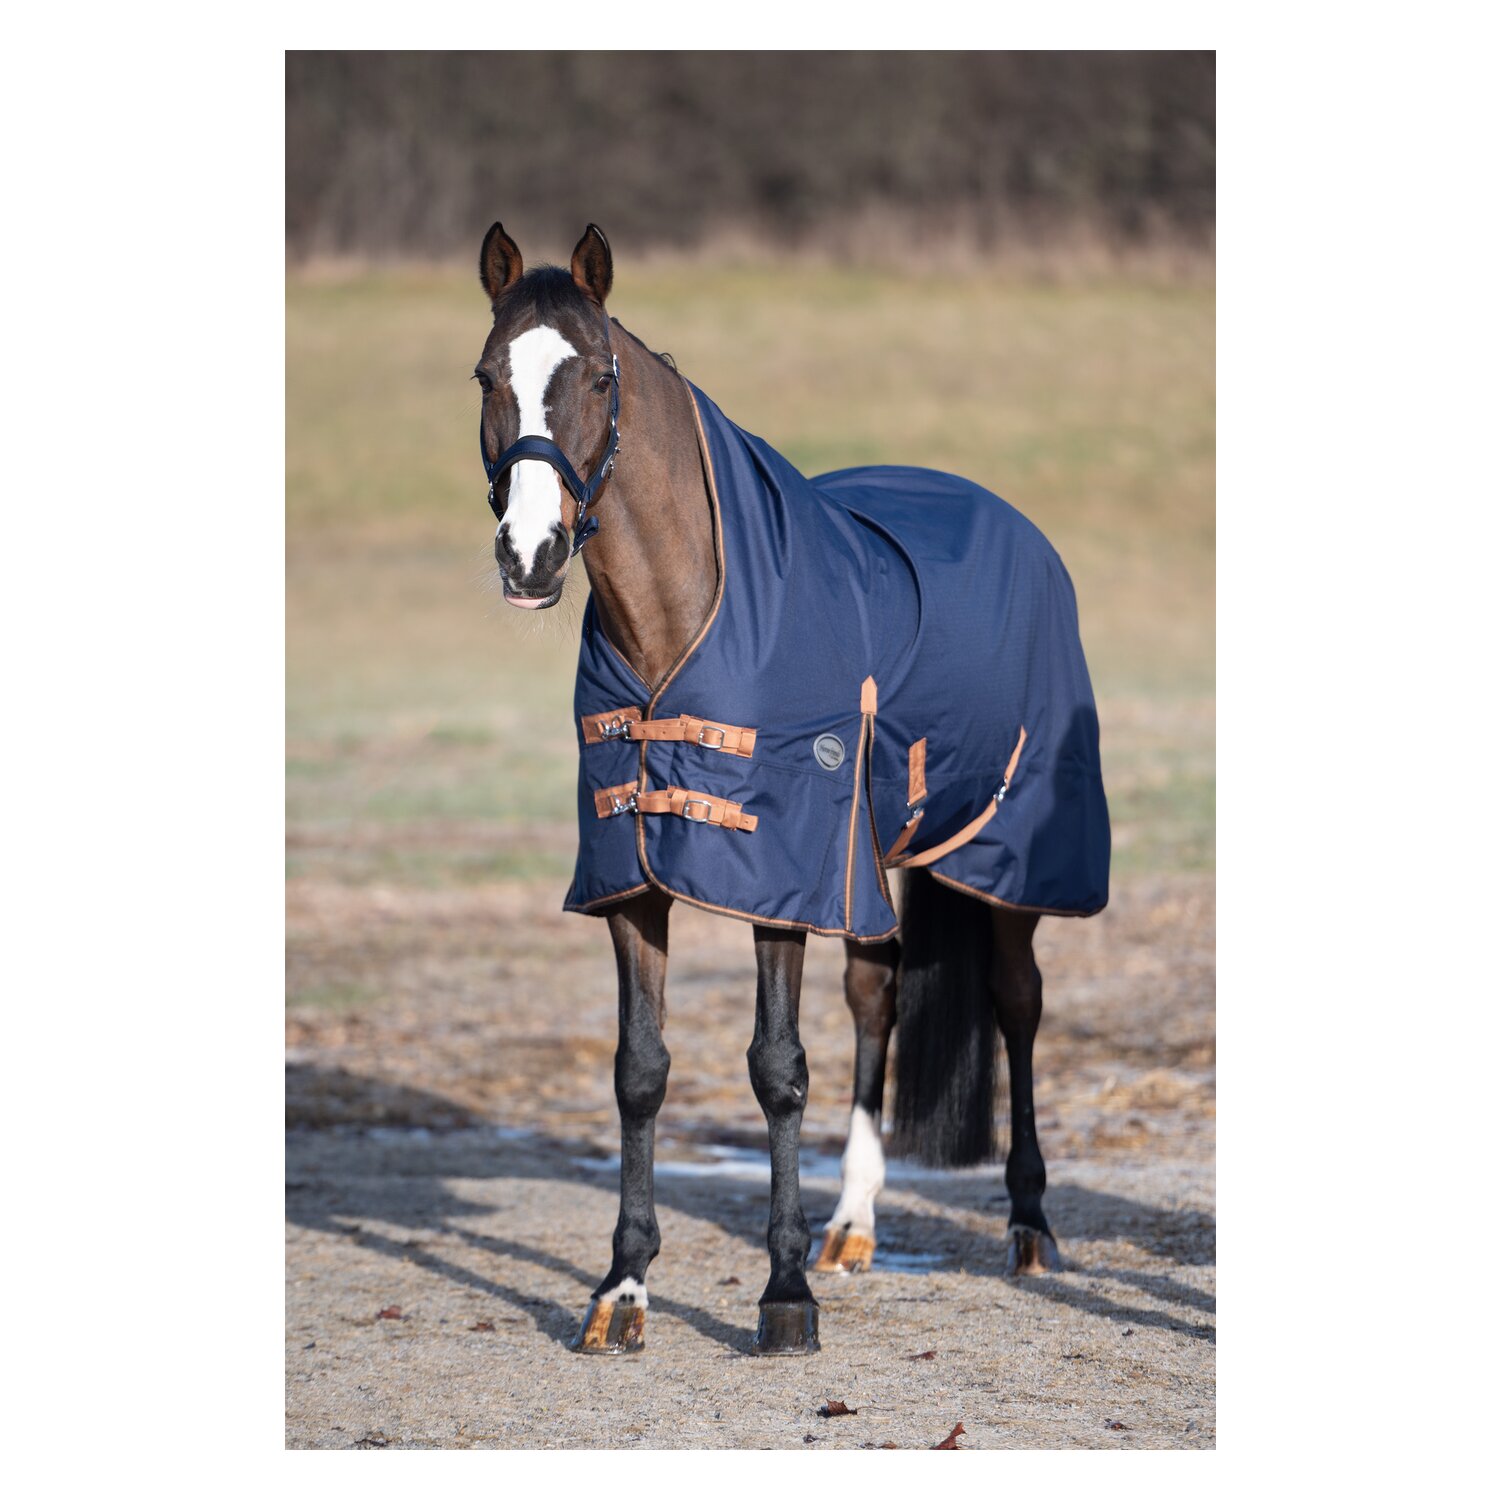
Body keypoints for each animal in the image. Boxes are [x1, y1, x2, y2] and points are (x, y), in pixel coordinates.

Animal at [472, 222, 1110, 1357]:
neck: (686, 617)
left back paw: (1031, 1227)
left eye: (599, 377)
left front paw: (782, 1298)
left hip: (1003, 855)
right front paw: (622, 1289)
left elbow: (777, 1067)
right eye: (486, 376)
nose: (529, 556)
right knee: (877, 993)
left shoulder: (780, 873)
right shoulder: (633, 877)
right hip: (877, 855)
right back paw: (853, 1225)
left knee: (1018, 1004)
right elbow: (640, 1071)